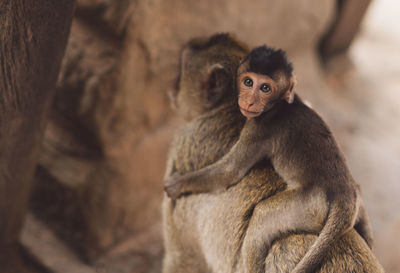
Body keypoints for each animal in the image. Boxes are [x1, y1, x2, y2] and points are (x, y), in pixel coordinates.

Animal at [162, 34, 384, 272]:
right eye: (247, 82)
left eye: (265, 88)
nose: (172, 86)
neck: (228, 108)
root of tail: (344, 198)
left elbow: (229, 172)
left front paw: (180, 184)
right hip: (352, 202)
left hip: (307, 206)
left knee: (262, 219)